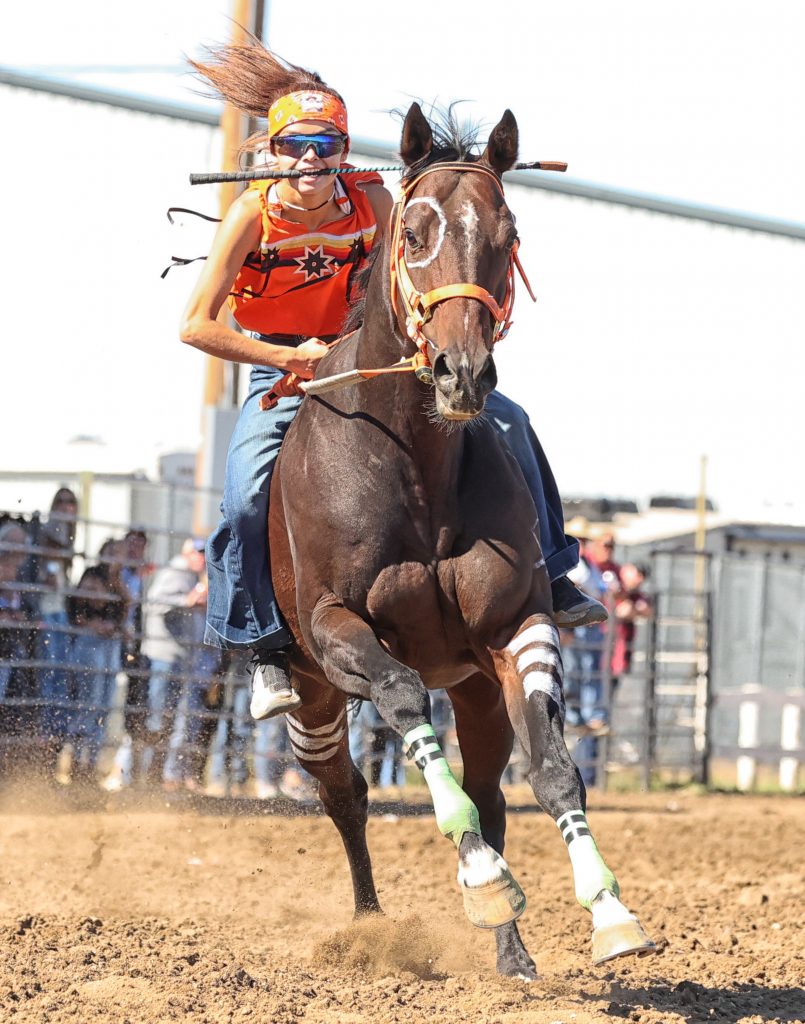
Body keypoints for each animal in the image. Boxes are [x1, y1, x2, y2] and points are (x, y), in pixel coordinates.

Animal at [270, 105, 651, 983]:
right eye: (412, 233)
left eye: (506, 236)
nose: (461, 373)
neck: (413, 463)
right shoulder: (339, 630)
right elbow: (403, 698)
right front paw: (480, 880)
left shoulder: (517, 628)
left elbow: (553, 770)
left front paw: (609, 914)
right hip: (310, 690)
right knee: (344, 794)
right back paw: (370, 925)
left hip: (474, 688)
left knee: (489, 789)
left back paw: (511, 953)